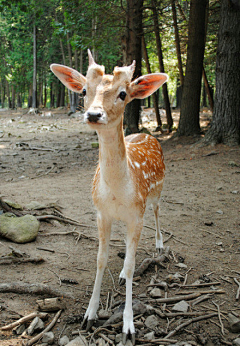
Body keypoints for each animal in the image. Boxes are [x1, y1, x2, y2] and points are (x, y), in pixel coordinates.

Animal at [50, 50, 168, 344]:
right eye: (83, 91)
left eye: (123, 93)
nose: (94, 114)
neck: (117, 193)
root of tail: (146, 134)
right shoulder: (101, 213)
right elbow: (101, 260)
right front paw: (89, 315)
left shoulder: (136, 214)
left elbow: (131, 263)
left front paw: (128, 326)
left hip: (156, 192)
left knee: (158, 211)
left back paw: (160, 244)